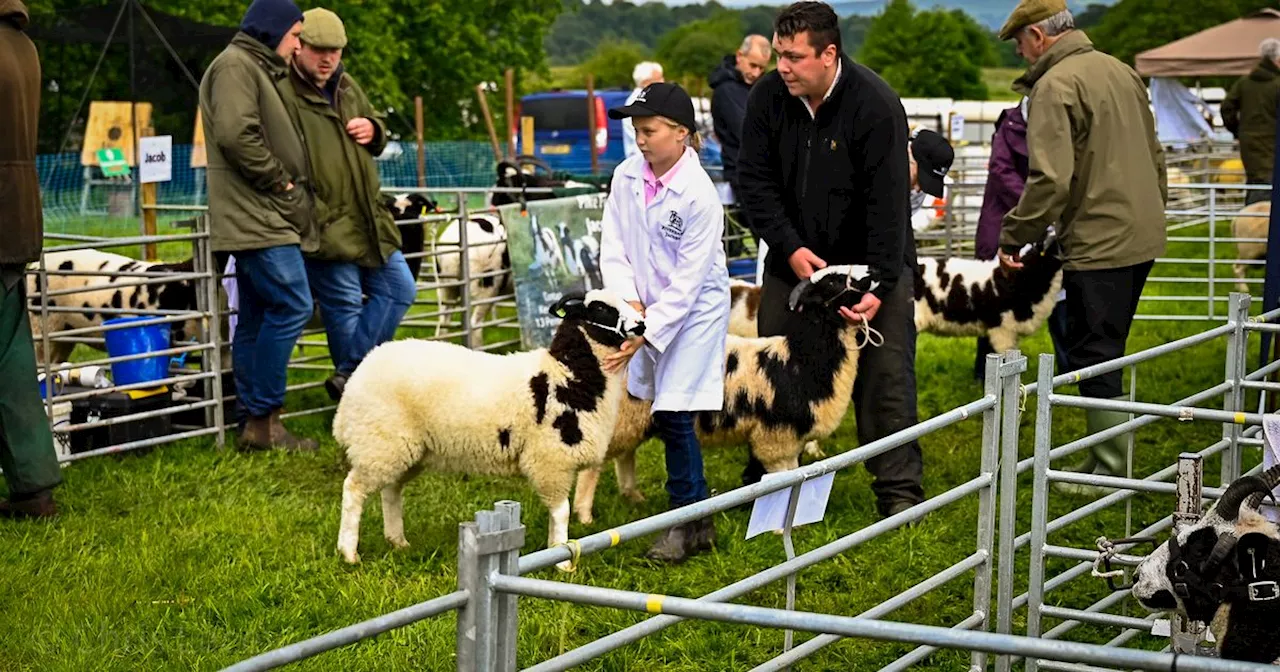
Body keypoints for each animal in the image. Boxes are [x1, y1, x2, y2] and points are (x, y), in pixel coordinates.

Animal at [335, 288, 645, 565]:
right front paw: (562, 560)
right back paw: (349, 553)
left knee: (391, 490)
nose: (641, 324)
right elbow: (562, 513)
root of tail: (362, 370)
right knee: (353, 489)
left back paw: (397, 541)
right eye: (601, 308)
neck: (566, 374)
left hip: (404, 449)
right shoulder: (551, 462)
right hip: (379, 442)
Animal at [570, 266, 880, 524]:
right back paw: (584, 515)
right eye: (833, 281)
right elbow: (783, 481)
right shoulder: (776, 439)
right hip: (615, 418)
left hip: (632, 419)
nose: (872, 273)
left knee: (625, 455)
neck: (801, 359)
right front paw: (780, 526)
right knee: (594, 464)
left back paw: (633, 497)